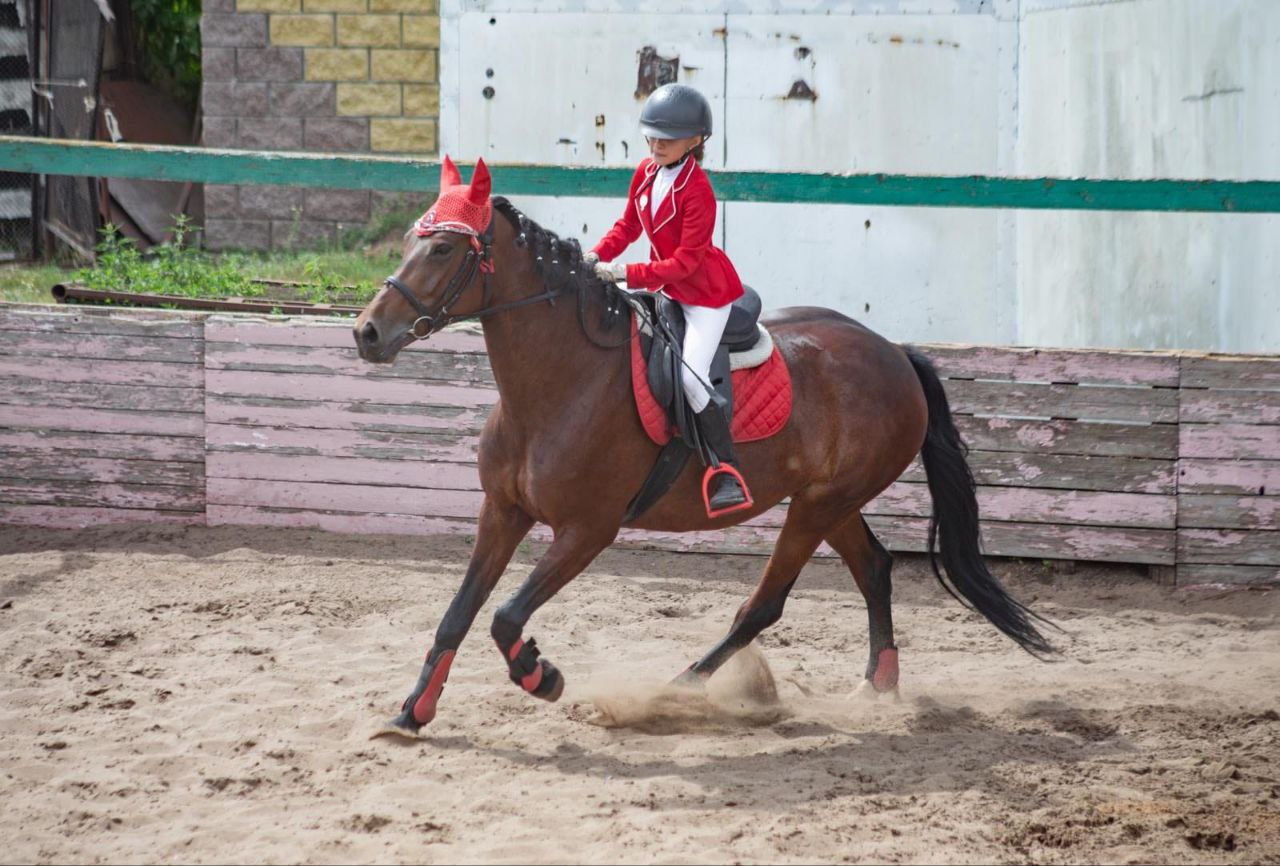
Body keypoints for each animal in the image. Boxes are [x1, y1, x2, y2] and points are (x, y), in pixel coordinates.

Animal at [350, 170, 1049, 736]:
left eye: (443, 248)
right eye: (410, 240)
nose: (366, 333)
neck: (557, 384)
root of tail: (894, 352)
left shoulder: (587, 530)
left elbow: (503, 616)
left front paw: (540, 676)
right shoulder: (502, 511)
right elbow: (458, 615)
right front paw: (411, 714)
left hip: (819, 506)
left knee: (763, 605)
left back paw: (674, 693)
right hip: (827, 499)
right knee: (874, 569)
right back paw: (877, 688)